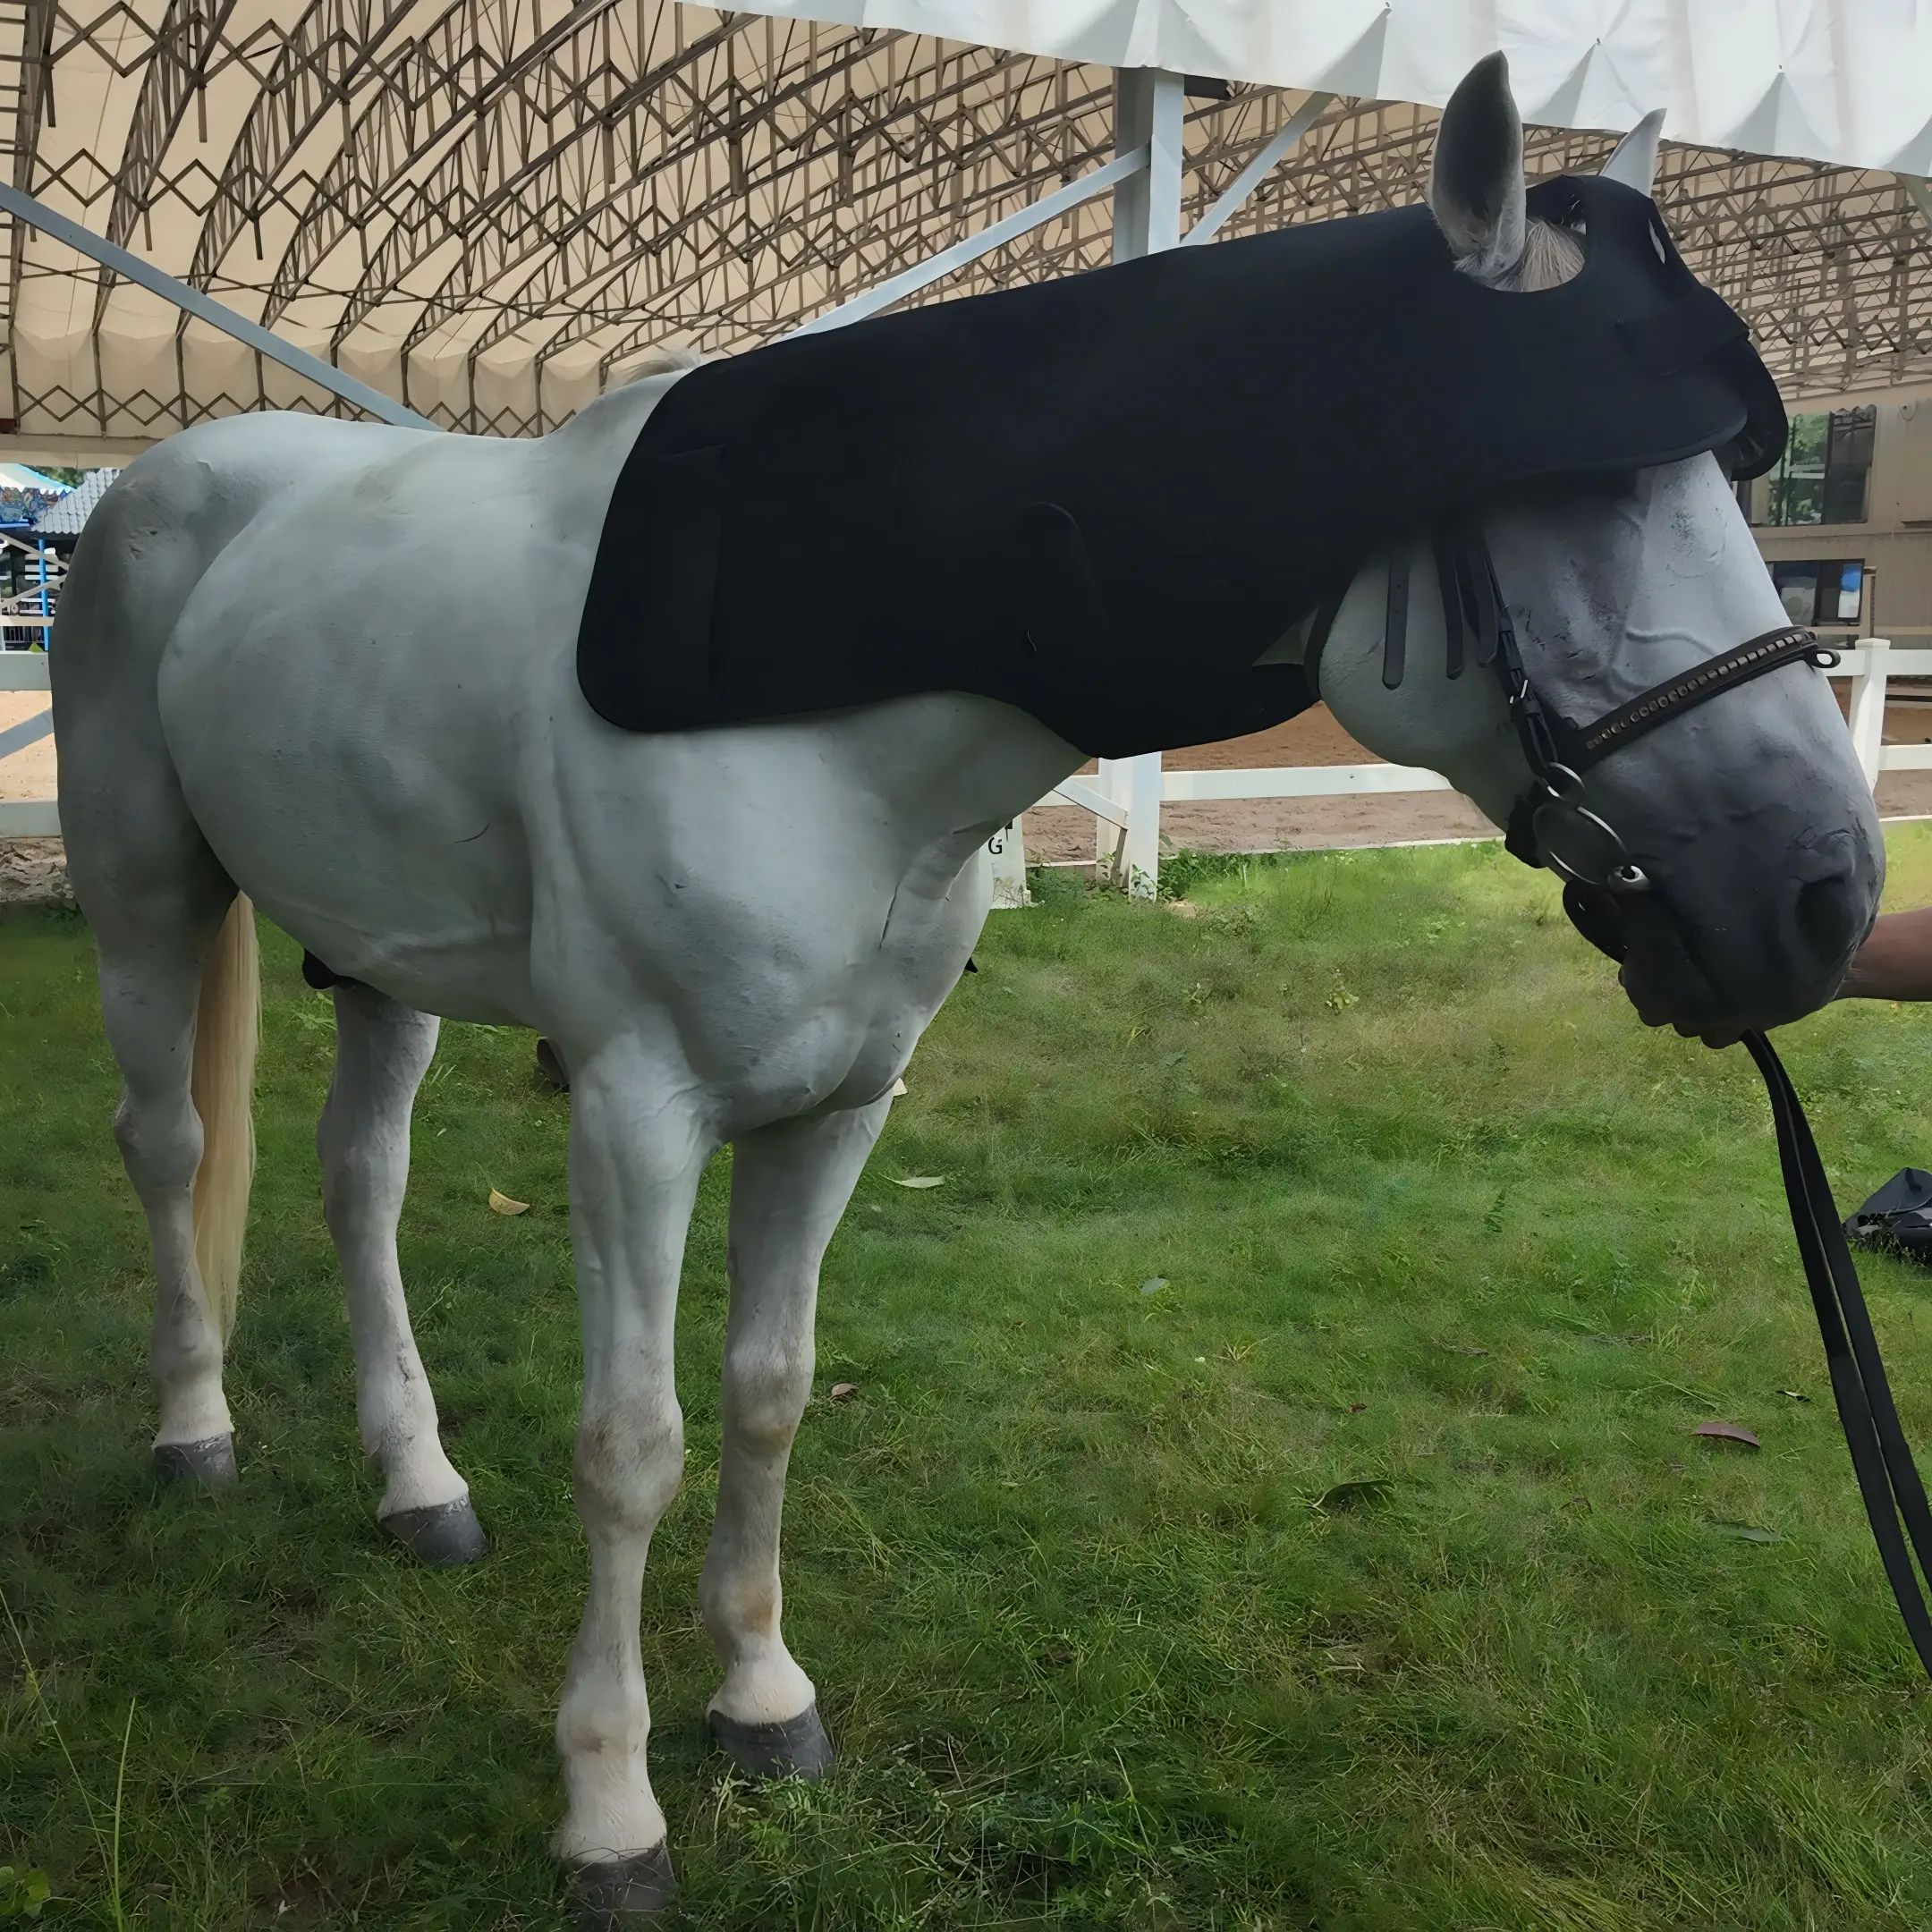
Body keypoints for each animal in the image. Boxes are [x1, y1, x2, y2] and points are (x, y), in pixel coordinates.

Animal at [49, 55, 1880, 1918]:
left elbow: (768, 1396)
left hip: (380, 956)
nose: (1824, 896)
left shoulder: (838, 1109)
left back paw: (416, 1483)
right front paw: (610, 1807)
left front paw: (761, 1699)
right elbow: (632, 1447)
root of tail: (156, 488)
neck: (822, 694)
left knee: (361, 1178)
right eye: (1580, 502)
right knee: (168, 1146)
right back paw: (192, 1433)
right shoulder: (636, 1112)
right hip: (145, 894)